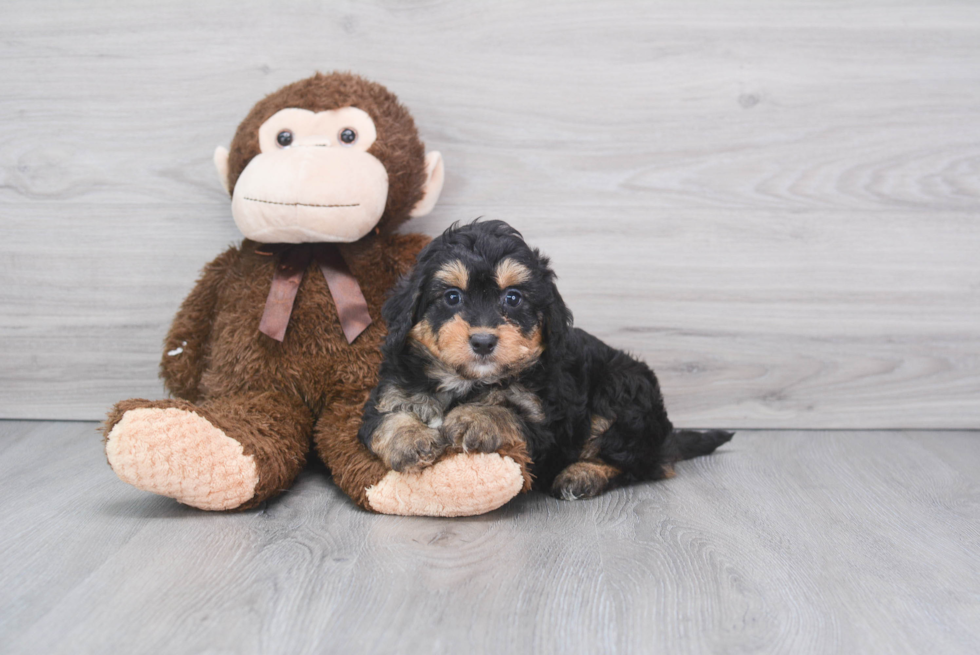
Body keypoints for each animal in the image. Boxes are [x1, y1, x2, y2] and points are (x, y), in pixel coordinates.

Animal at [356, 222, 732, 502]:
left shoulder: (547, 422)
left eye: (513, 298)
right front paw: (411, 440)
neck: (466, 381)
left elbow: (510, 414)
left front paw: (476, 417)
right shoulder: (390, 392)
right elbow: (386, 419)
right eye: (452, 297)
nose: (483, 341)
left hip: (623, 391)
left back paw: (583, 474)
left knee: (643, 463)